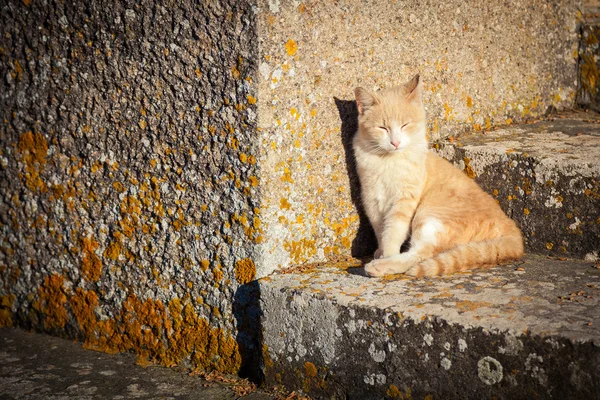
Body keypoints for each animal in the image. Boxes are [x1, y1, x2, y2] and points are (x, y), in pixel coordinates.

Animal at [354, 73, 524, 276]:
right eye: (382, 128)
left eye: (405, 125)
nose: (395, 142)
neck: (388, 160)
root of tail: (512, 229)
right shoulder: (372, 198)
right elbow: (380, 229)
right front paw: (380, 250)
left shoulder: (404, 200)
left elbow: (393, 231)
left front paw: (386, 254)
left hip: (430, 217)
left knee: (421, 253)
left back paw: (380, 266)